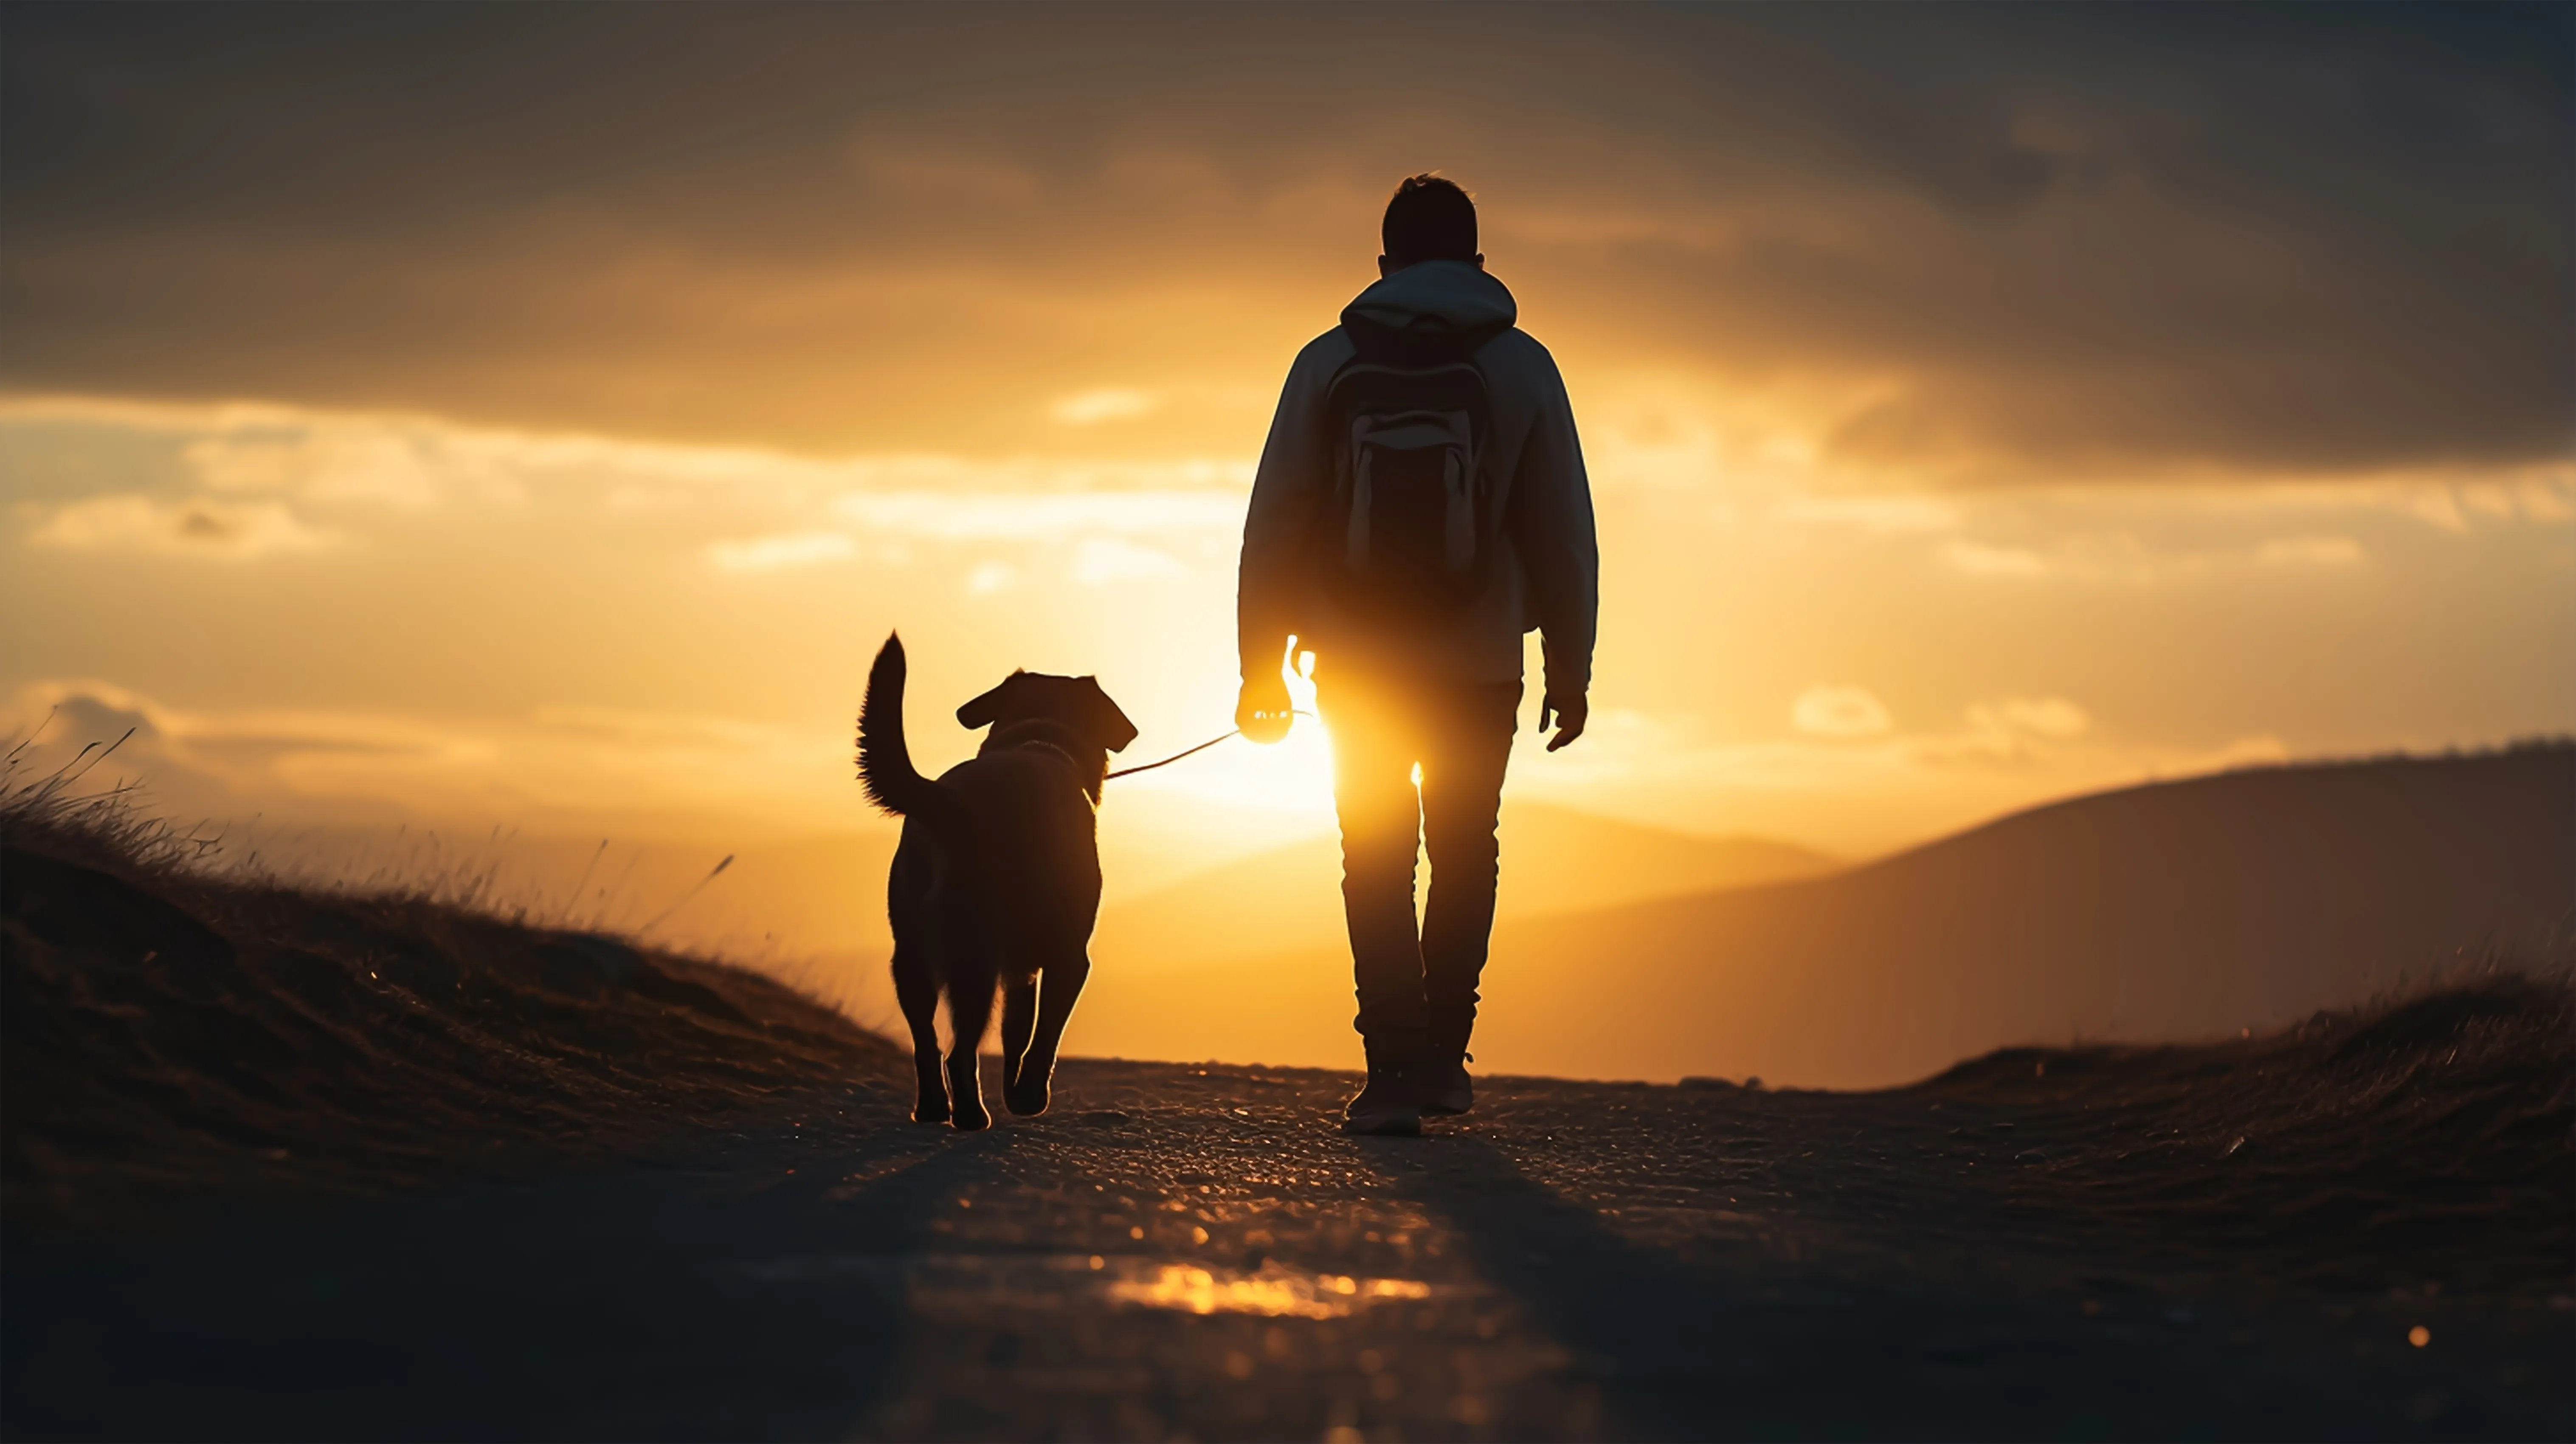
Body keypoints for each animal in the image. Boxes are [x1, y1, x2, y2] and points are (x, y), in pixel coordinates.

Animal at [855, 632, 1138, 1129]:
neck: (1039, 739)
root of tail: (951, 805)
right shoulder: (1068, 958)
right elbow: (1044, 1038)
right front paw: (1028, 1096)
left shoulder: (1020, 970)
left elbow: (1017, 1032)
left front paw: (1015, 1090)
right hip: (976, 954)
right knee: (960, 1051)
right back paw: (970, 1113)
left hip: (911, 955)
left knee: (926, 1043)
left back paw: (933, 1107)